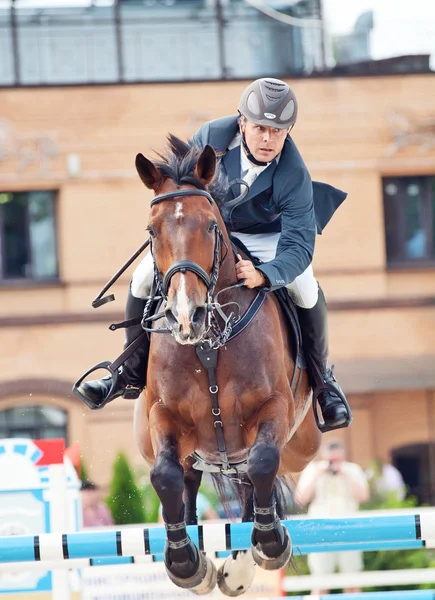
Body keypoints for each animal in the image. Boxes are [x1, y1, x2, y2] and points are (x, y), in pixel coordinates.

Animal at [133, 136, 320, 596]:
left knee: (253, 483)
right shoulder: (164, 415)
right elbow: (164, 476)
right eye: (152, 231)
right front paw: (185, 562)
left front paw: (269, 545)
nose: (186, 317)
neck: (208, 344)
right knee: (188, 480)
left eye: (210, 226)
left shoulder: (272, 409)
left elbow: (264, 463)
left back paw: (239, 566)